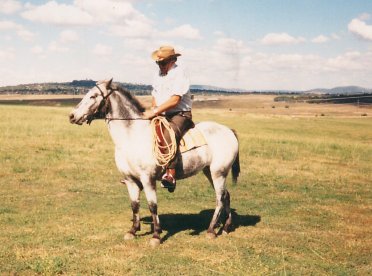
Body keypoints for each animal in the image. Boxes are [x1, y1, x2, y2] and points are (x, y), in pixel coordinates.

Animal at [68, 78, 240, 247]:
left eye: (93, 96)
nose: (72, 116)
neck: (132, 136)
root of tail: (229, 131)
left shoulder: (147, 179)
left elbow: (152, 205)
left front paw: (156, 235)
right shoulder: (130, 180)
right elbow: (135, 204)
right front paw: (133, 231)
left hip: (218, 173)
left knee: (219, 198)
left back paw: (211, 230)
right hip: (209, 172)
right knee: (226, 195)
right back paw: (225, 227)